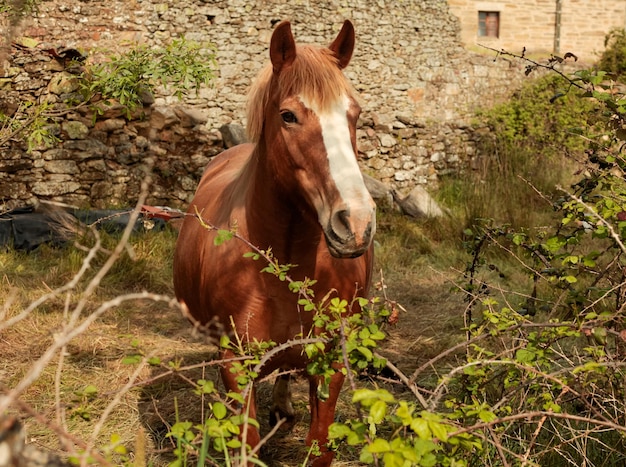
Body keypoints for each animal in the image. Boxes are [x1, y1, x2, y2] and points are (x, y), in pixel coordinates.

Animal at [173, 20, 372, 466]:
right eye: (288, 115)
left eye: (354, 113)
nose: (356, 223)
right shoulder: (236, 365)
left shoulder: (330, 362)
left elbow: (320, 447)